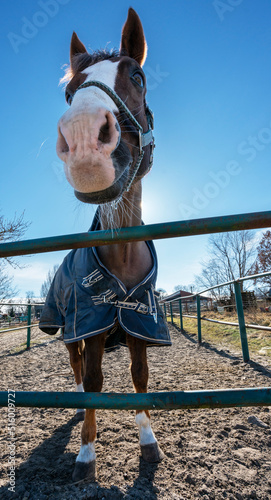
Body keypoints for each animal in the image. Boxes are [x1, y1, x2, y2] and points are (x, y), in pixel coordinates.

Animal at [39, 7, 171, 482]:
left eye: (138, 75)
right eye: (68, 93)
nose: (82, 140)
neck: (122, 256)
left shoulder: (140, 324)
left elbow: (140, 377)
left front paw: (149, 443)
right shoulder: (90, 325)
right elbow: (95, 381)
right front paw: (86, 453)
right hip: (68, 330)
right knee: (76, 367)